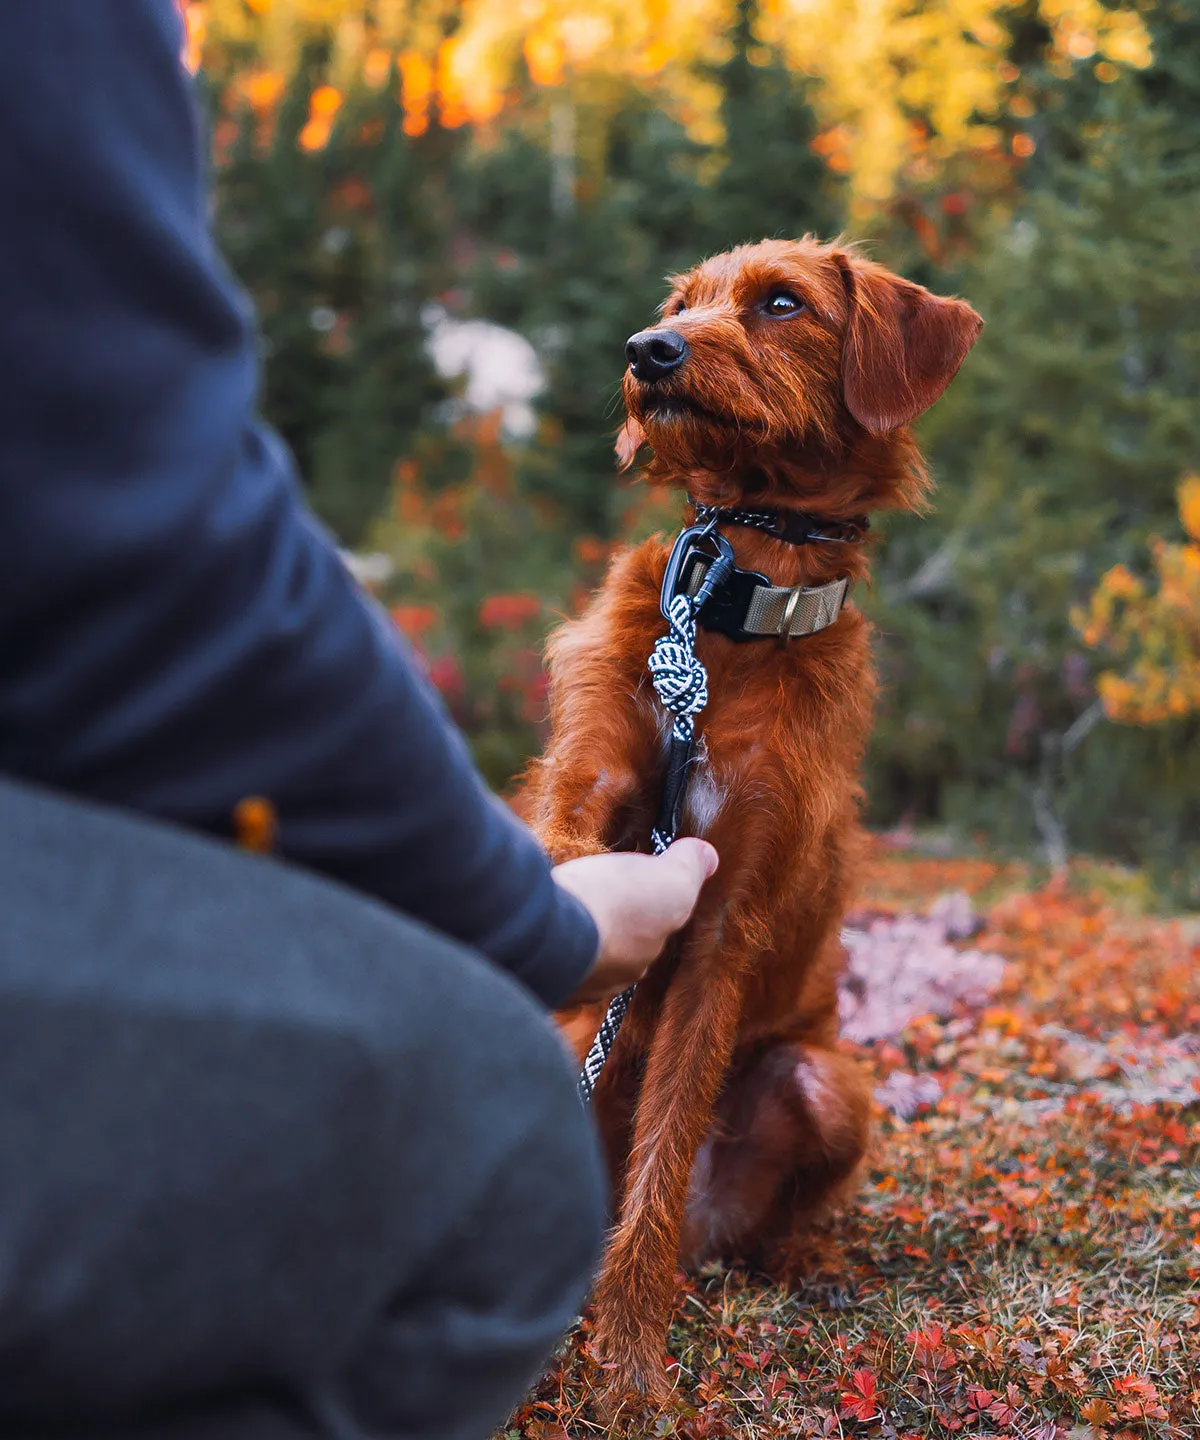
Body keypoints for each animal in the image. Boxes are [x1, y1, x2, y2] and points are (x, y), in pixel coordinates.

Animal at [518, 239, 979, 1405]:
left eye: (782, 302)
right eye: (683, 304)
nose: (649, 349)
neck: (735, 605)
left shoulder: (725, 925)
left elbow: (661, 1156)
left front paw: (631, 1370)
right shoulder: (582, 805)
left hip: (827, 1083)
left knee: (726, 1217)